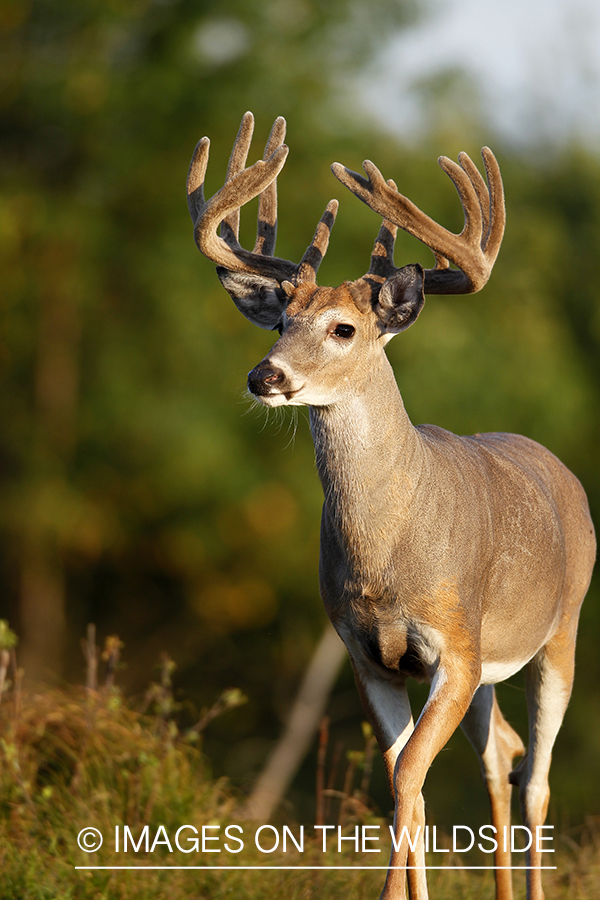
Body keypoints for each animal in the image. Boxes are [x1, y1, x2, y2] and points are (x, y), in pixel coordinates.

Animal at [186, 114, 596, 900]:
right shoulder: (365, 652)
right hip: (488, 670)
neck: (387, 554)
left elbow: (408, 775)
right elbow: (403, 780)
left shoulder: (455, 643)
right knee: (501, 753)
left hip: (560, 631)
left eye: (343, 329)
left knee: (537, 777)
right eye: (279, 321)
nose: (263, 376)